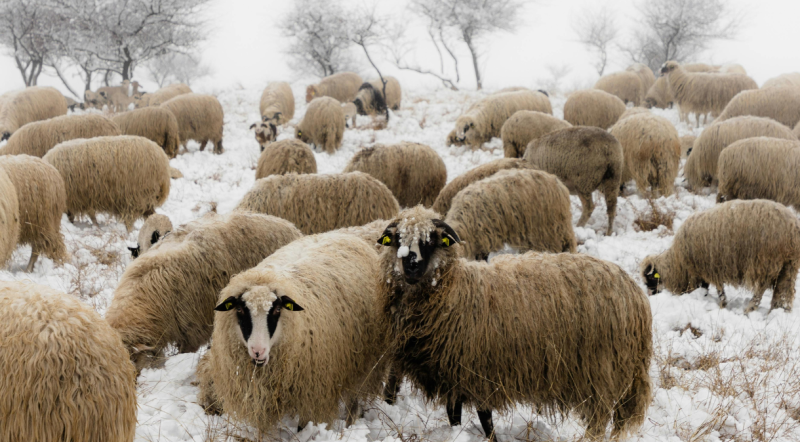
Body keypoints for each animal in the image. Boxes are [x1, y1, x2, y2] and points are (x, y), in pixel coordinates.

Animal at [43, 135, 171, 231]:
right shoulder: (83, 197)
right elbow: (88, 214)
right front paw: (96, 226)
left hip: (137, 195)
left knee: (133, 218)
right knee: (150, 215)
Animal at [197, 231, 390, 432]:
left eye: (276, 310)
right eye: (241, 310)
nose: (258, 351)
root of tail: (343, 233)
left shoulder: (314, 390)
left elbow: (305, 426)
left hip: (363, 360)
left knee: (355, 396)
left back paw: (351, 423)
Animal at [376, 206, 653, 440]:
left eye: (430, 242)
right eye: (398, 241)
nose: (411, 267)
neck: (455, 292)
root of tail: (636, 296)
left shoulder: (478, 369)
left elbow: (484, 416)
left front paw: (491, 438)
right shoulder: (455, 371)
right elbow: (454, 414)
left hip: (600, 369)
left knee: (598, 419)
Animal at [641, 199, 800, 312]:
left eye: (651, 278)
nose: (650, 295)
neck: (677, 262)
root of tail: (793, 227)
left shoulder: (708, 268)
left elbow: (717, 289)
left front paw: (722, 304)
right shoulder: (704, 270)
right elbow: (705, 287)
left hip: (766, 261)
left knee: (761, 288)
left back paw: (750, 308)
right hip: (788, 265)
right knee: (784, 290)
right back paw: (779, 310)